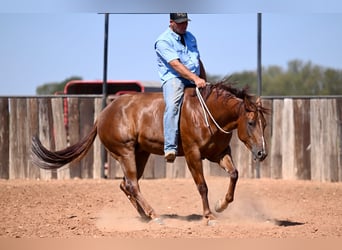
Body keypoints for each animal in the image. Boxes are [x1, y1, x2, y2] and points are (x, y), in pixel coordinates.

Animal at [30, 80, 268, 225]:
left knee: (125, 184)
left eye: (264, 124)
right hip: (125, 152)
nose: (262, 154)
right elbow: (202, 186)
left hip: (140, 154)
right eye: (251, 122)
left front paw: (221, 204)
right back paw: (154, 215)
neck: (205, 113)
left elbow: (234, 174)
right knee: (132, 184)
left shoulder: (219, 153)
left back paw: (144, 215)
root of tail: (103, 114)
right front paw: (209, 216)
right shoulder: (193, 154)